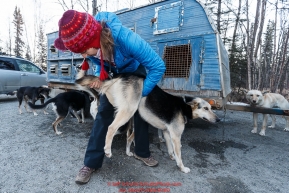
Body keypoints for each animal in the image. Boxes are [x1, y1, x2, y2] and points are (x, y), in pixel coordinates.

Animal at [75, 74, 219, 173]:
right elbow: (179, 155)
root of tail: (121, 75)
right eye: (206, 108)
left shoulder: (167, 133)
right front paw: (182, 168)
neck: (185, 106)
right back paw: (107, 150)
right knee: (110, 128)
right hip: (128, 111)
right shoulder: (176, 136)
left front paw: (172, 157)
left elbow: (170, 149)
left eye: (211, 108)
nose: (218, 120)